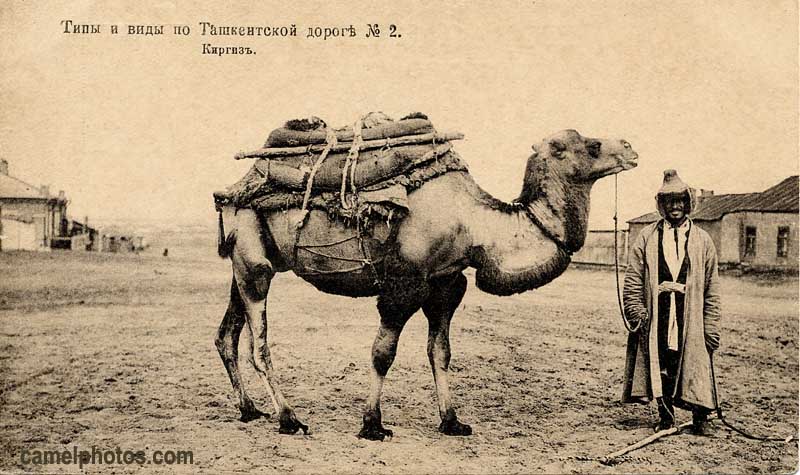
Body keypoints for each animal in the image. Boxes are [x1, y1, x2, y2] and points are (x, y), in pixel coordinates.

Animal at [212, 128, 636, 440]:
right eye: (593, 145)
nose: (631, 147)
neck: (474, 222)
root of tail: (231, 192)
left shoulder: (445, 284)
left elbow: (440, 352)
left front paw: (452, 421)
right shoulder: (405, 283)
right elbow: (383, 353)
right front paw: (372, 425)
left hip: (243, 266)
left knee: (226, 335)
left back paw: (249, 409)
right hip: (254, 262)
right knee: (259, 344)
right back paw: (289, 419)